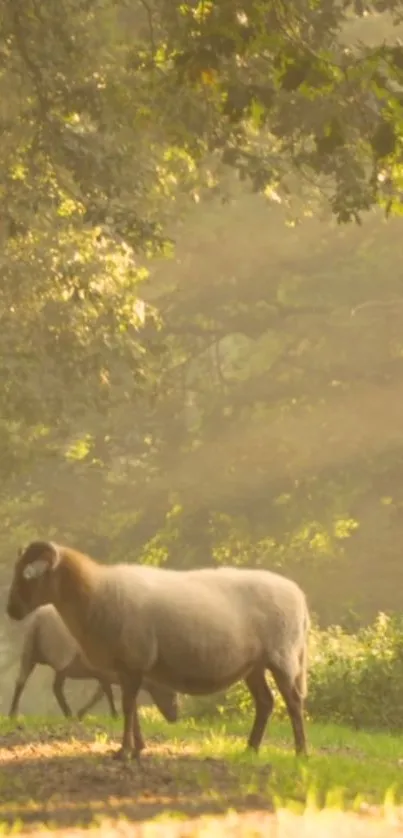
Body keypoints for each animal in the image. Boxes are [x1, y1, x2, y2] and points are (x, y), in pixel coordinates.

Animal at [7, 604, 178, 728]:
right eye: (171, 693)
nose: (175, 718)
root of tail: (39, 617)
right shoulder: (104, 672)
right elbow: (106, 693)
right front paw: (114, 715)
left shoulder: (105, 674)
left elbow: (101, 693)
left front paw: (82, 714)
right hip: (61, 656)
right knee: (53, 687)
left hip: (30, 650)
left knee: (22, 681)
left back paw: (14, 714)